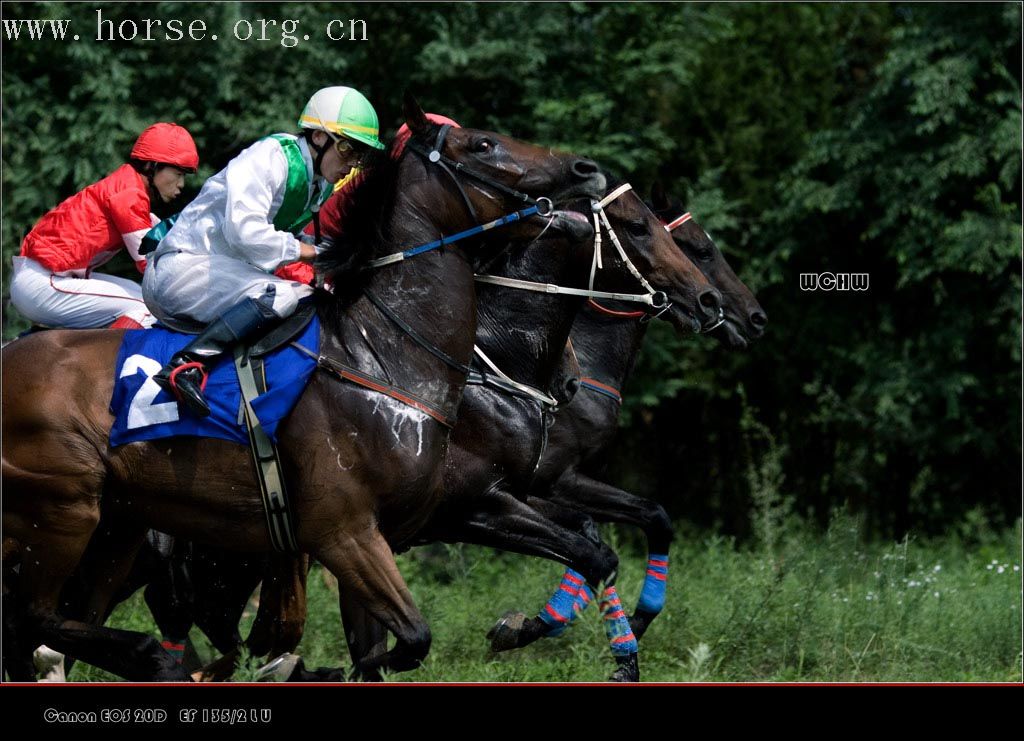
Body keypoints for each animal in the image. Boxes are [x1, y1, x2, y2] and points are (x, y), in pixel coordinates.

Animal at [2, 99, 606, 683]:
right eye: (481, 143)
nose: (586, 168)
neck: (381, 359)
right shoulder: (345, 531)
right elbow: (410, 639)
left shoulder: (402, 524)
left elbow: (387, 646)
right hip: (65, 510)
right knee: (36, 617)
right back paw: (155, 657)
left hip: (119, 522)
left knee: (54, 622)